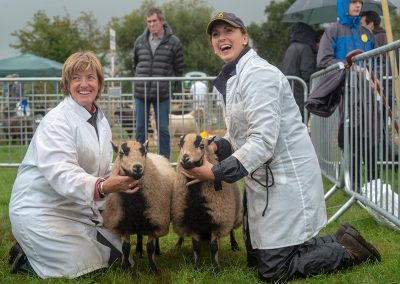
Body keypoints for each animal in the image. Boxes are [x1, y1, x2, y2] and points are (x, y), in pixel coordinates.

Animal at [101, 141, 175, 274]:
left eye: (144, 152)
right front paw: (124, 268)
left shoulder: (154, 221)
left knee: (155, 239)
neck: (134, 203)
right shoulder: (123, 223)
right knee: (139, 235)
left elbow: (150, 248)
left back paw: (157, 252)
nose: (137, 167)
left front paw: (153, 269)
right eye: (121, 153)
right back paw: (139, 251)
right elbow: (125, 248)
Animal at [171, 134, 242, 274]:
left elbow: (214, 247)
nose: (185, 159)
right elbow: (196, 247)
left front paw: (215, 270)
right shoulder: (191, 223)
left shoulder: (217, 221)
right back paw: (178, 245)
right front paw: (197, 268)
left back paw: (234, 245)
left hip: (232, 214)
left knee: (231, 230)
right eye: (180, 144)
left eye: (201, 145)